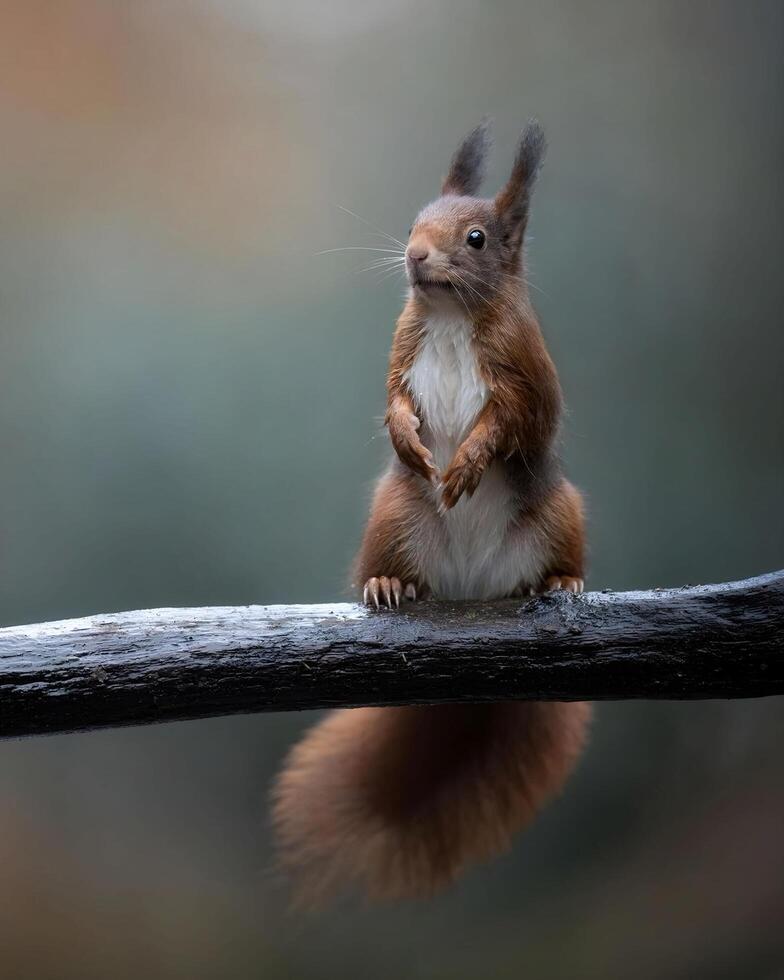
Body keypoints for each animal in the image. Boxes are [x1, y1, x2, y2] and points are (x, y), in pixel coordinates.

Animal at [274, 120, 588, 904]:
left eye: (475, 238)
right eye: (416, 218)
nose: (415, 255)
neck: (448, 315)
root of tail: (472, 586)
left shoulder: (519, 373)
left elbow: (508, 424)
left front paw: (469, 460)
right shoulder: (402, 348)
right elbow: (392, 400)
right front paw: (408, 439)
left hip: (559, 512)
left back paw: (559, 581)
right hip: (396, 515)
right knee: (396, 557)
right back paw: (390, 583)